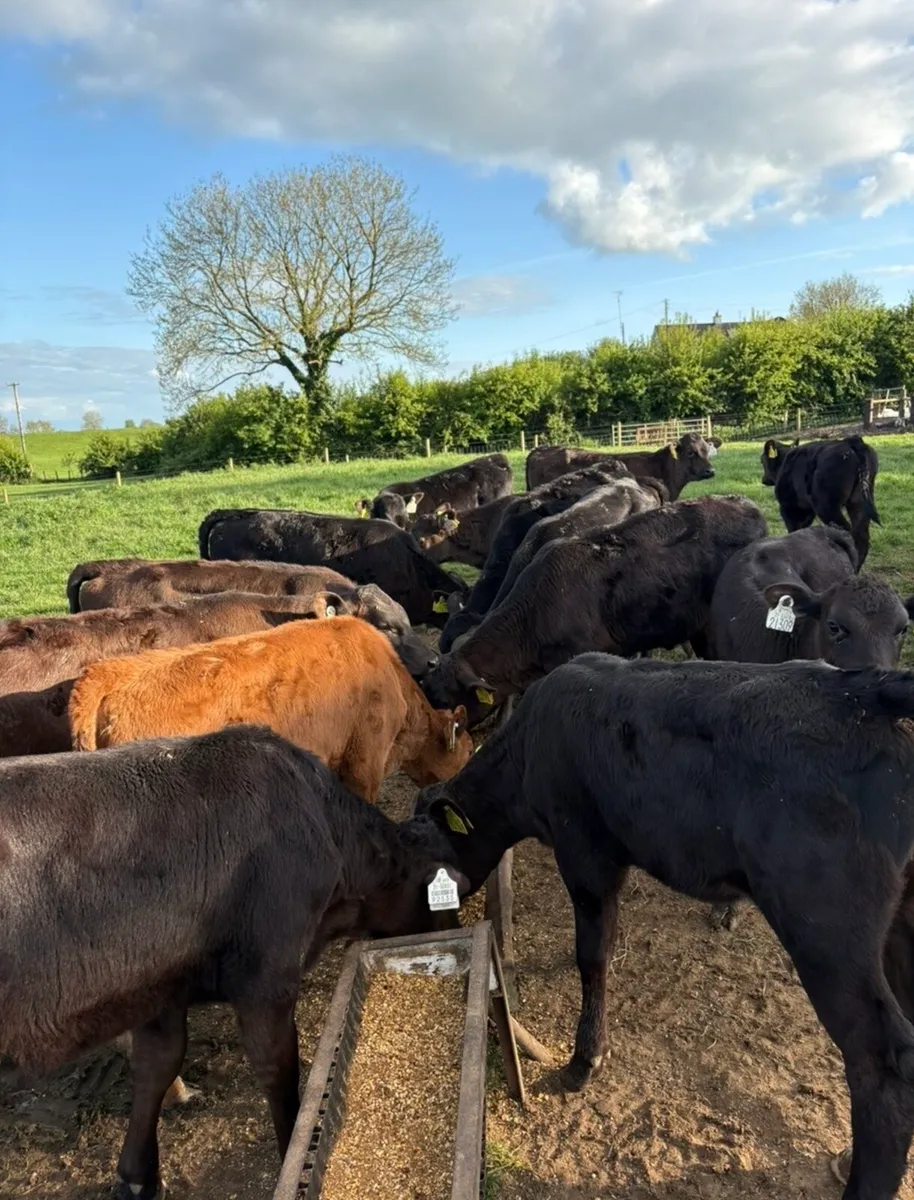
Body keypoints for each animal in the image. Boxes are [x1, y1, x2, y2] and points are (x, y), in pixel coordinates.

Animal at [0, 724, 468, 1200]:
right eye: (449, 890)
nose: (456, 929)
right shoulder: (268, 977)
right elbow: (279, 1070)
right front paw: (294, 1154)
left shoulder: (157, 986)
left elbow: (157, 1063)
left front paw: (137, 1177)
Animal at [415, 654, 914, 1200]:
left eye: (420, 868)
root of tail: (862, 690)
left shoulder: (585, 851)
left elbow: (593, 955)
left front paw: (584, 1061)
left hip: (826, 931)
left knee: (882, 1061)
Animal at [760, 434, 880, 566]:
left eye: (762, 461)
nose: (763, 479)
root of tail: (850, 441)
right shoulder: (807, 509)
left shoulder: (789, 507)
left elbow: (794, 530)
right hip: (858, 503)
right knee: (862, 537)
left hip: (826, 506)